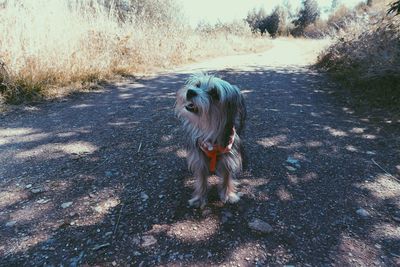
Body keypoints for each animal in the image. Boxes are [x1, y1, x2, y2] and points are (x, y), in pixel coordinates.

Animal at [176, 74, 245, 209]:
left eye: (214, 93)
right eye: (197, 85)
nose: (190, 91)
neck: (211, 130)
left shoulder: (228, 159)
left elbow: (227, 178)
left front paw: (228, 195)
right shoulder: (199, 160)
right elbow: (201, 180)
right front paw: (199, 199)